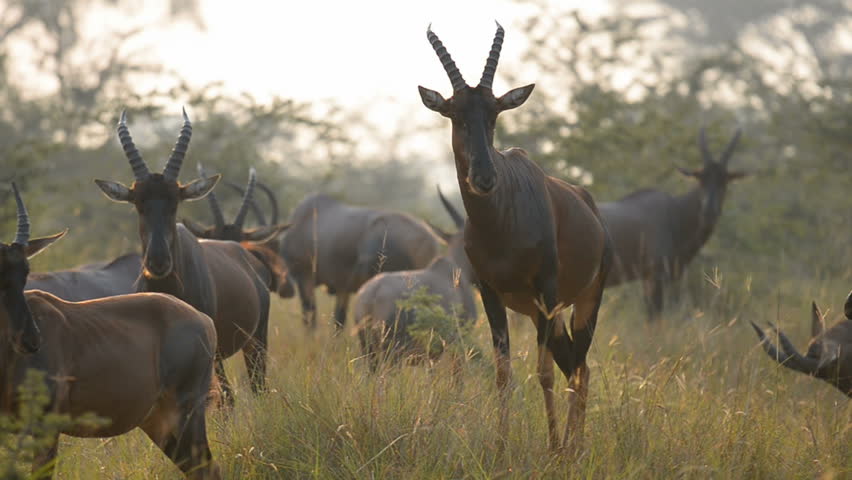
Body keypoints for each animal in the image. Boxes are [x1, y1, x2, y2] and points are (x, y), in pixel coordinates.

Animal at [1, 184, 219, 479]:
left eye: (26, 272)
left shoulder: (46, 429)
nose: (31, 340)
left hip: (186, 411)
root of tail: (203, 320)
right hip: (158, 422)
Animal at [419, 23, 612, 453]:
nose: (484, 177)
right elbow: (503, 374)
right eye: (454, 113)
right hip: (547, 314)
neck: (500, 223)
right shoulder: (491, 293)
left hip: (581, 303)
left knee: (580, 370)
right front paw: (501, 444)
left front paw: (553, 448)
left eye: (495, 113)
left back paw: (573, 448)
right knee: (575, 365)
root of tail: (589, 205)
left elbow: (543, 374)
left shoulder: (546, 290)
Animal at [599, 128, 745, 322]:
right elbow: (653, 319)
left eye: (725, 180)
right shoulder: (655, 277)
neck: (674, 212)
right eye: (700, 178)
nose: (709, 212)